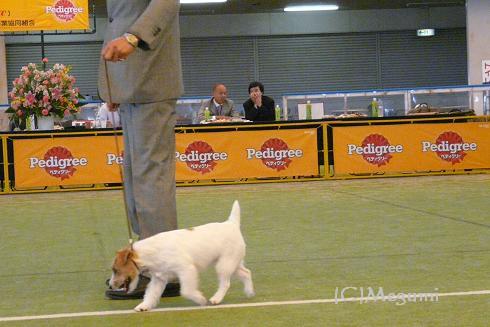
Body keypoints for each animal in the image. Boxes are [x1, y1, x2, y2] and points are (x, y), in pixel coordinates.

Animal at [109, 200, 255, 312]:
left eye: (115, 270)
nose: (110, 286)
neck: (151, 253)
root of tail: (231, 224)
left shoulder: (186, 270)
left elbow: (186, 291)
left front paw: (201, 299)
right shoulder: (158, 279)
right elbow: (151, 295)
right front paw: (143, 306)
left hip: (224, 265)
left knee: (226, 283)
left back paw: (216, 298)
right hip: (232, 263)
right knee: (246, 273)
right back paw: (249, 292)